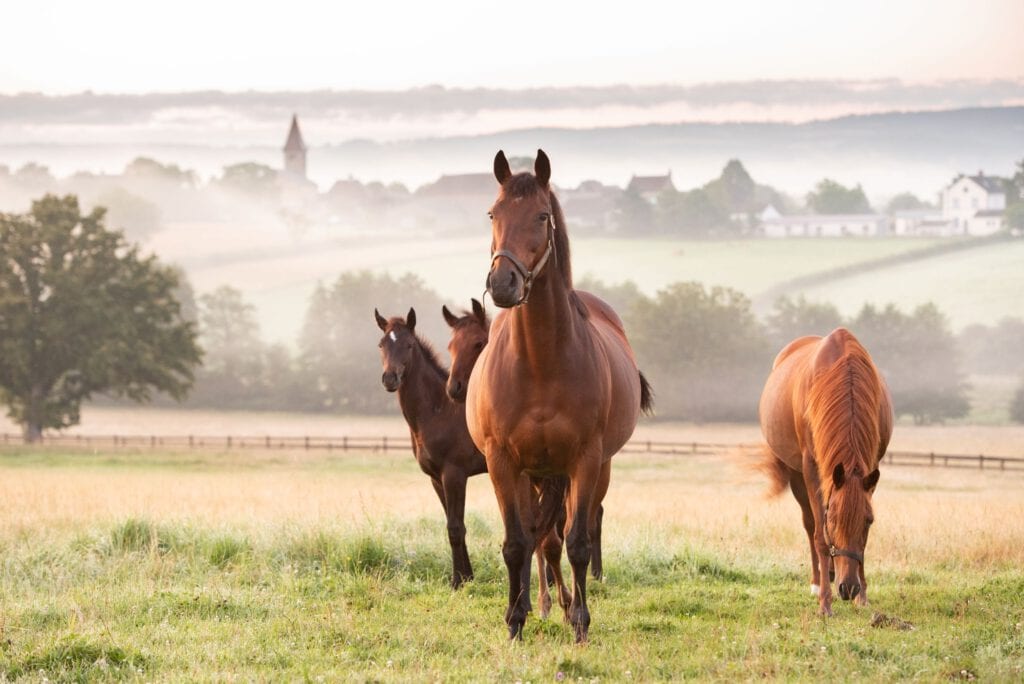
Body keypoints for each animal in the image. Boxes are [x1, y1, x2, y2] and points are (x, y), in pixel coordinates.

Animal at [466, 149, 653, 642]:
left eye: (542, 215)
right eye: (493, 213)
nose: (503, 284)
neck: (540, 363)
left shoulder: (585, 461)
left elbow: (579, 542)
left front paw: (581, 623)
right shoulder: (503, 463)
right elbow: (517, 542)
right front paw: (514, 621)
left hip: (589, 470)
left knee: (564, 535)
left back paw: (567, 609)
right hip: (534, 474)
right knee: (541, 539)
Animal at [757, 327, 892, 616]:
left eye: (869, 521)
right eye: (833, 521)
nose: (848, 588)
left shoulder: (872, 467)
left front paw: (863, 596)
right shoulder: (811, 467)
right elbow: (819, 535)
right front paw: (825, 603)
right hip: (796, 473)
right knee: (809, 524)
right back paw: (818, 581)